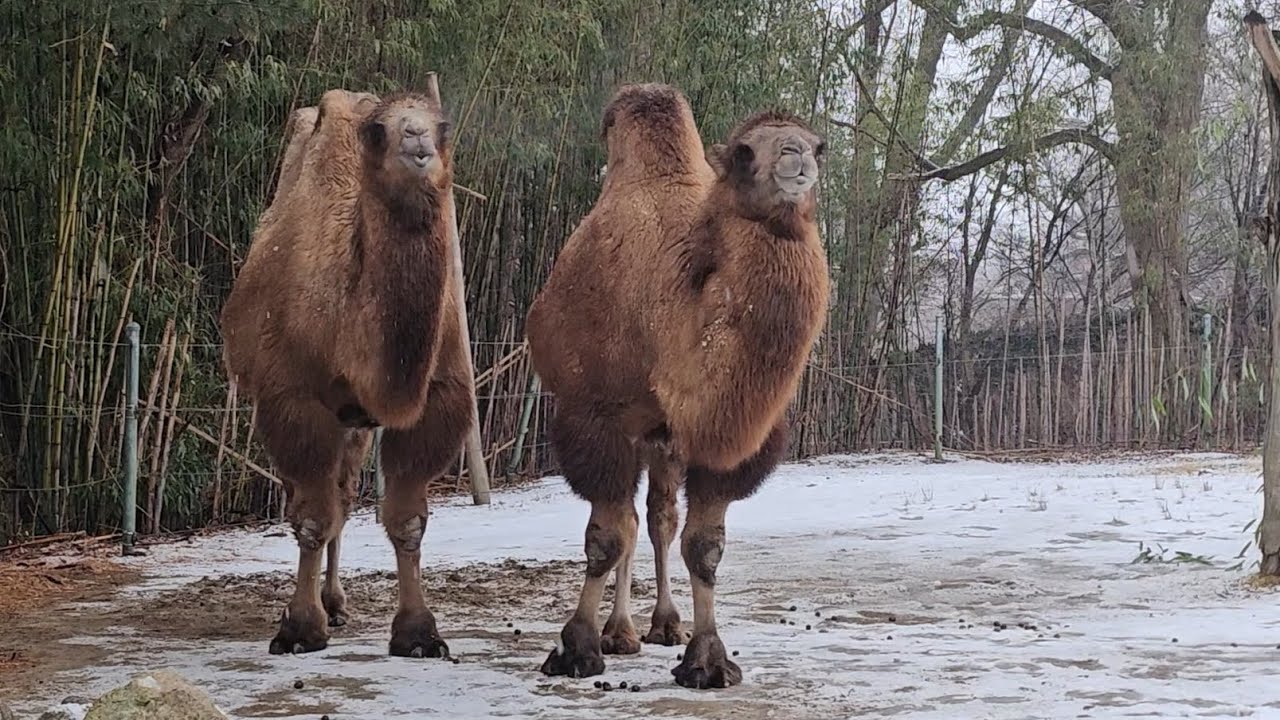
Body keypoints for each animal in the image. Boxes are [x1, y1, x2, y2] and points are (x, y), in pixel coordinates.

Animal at [219, 85, 474, 659]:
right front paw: (298, 629)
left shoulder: (438, 396)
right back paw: (323, 605)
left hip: (355, 423)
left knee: (345, 490)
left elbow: (406, 520)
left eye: (443, 125)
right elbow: (312, 518)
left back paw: (335, 601)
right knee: (323, 498)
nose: (418, 140)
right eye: (378, 131)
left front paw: (419, 633)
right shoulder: (293, 399)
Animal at [525, 83, 830, 688]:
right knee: (630, 520)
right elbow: (605, 538)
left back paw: (662, 624)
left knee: (658, 517)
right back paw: (619, 632)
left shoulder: (727, 440)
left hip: (662, 440)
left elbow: (704, 547)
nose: (795, 158)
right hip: (637, 431)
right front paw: (575, 648)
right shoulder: (594, 415)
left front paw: (707, 657)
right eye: (744, 152)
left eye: (819, 145)